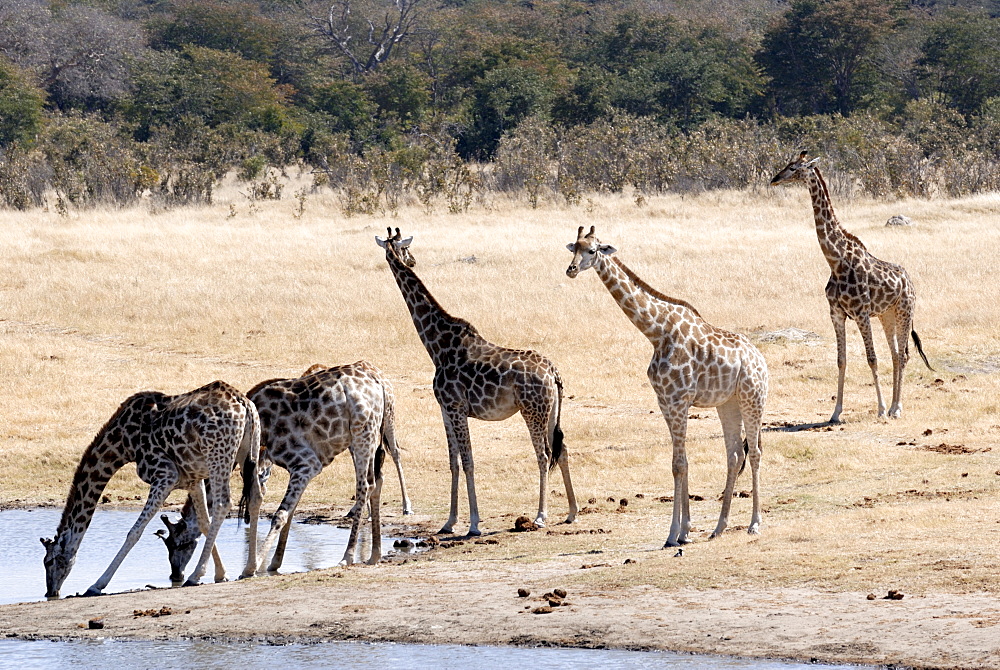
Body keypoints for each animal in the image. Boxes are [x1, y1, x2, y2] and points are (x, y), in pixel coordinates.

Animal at [41, 380, 264, 600]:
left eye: (49, 561)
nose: (50, 591)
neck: (123, 444)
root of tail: (244, 404)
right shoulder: (192, 479)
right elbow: (203, 523)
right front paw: (221, 574)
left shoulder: (165, 475)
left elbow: (134, 532)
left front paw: (97, 585)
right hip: (248, 451)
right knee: (255, 497)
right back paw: (249, 569)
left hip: (218, 455)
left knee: (223, 503)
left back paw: (195, 576)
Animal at [376, 228, 580, 540]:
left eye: (406, 247)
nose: (412, 260)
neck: (437, 346)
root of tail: (553, 372)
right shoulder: (445, 410)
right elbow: (453, 462)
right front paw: (449, 522)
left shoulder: (456, 407)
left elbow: (468, 461)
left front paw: (473, 524)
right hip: (550, 412)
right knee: (563, 449)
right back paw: (571, 512)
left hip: (532, 411)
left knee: (544, 455)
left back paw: (540, 516)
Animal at [568, 228, 768, 548]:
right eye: (574, 247)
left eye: (593, 250)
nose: (571, 269)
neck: (656, 332)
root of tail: (760, 359)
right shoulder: (665, 402)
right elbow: (680, 462)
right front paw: (685, 531)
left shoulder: (678, 401)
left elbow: (679, 464)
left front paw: (674, 534)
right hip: (728, 403)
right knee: (735, 454)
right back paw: (719, 527)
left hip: (753, 398)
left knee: (756, 453)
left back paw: (754, 524)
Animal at [772, 154, 928, 426]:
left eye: (792, 167)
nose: (774, 179)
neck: (836, 261)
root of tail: (910, 282)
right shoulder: (836, 313)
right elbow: (841, 360)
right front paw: (835, 413)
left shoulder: (861, 313)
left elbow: (871, 358)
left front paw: (880, 409)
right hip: (886, 315)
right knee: (896, 355)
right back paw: (893, 407)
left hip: (904, 312)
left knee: (904, 355)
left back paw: (896, 408)